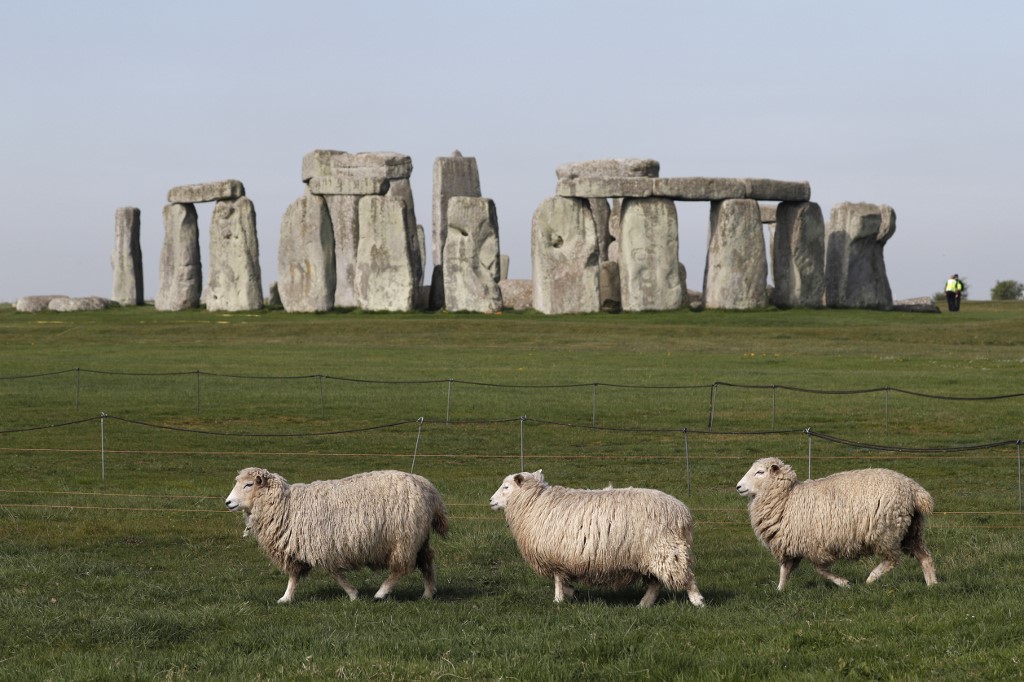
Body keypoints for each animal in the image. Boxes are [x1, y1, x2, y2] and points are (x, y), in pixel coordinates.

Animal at [224, 466, 448, 602]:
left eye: (248, 485)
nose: (227, 502)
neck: (285, 506)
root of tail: (429, 488)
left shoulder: (322, 546)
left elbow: (334, 573)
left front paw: (353, 594)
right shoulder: (298, 547)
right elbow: (294, 576)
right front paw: (286, 598)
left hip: (404, 539)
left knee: (401, 568)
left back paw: (381, 593)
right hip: (419, 537)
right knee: (427, 559)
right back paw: (428, 593)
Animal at [489, 466, 704, 606]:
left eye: (506, 487)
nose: (491, 501)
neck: (534, 502)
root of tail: (682, 512)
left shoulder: (555, 556)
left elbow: (557, 579)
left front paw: (558, 600)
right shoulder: (561, 558)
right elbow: (563, 580)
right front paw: (571, 592)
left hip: (666, 549)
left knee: (685, 576)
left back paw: (697, 601)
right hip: (649, 555)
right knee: (655, 583)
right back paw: (644, 604)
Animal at [737, 456, 937, 589]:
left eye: (760, 472)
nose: (738, 486)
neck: (787, 498)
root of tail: (913, 488)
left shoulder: (814, 545)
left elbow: (820, 569)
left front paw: (844, 583)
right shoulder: (791, 545)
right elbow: (785, 570)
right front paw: (780, 590)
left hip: (886, 531)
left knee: (892, 559)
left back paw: (871, 578)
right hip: (912, 530)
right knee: (924, 556)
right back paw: (932, 584)